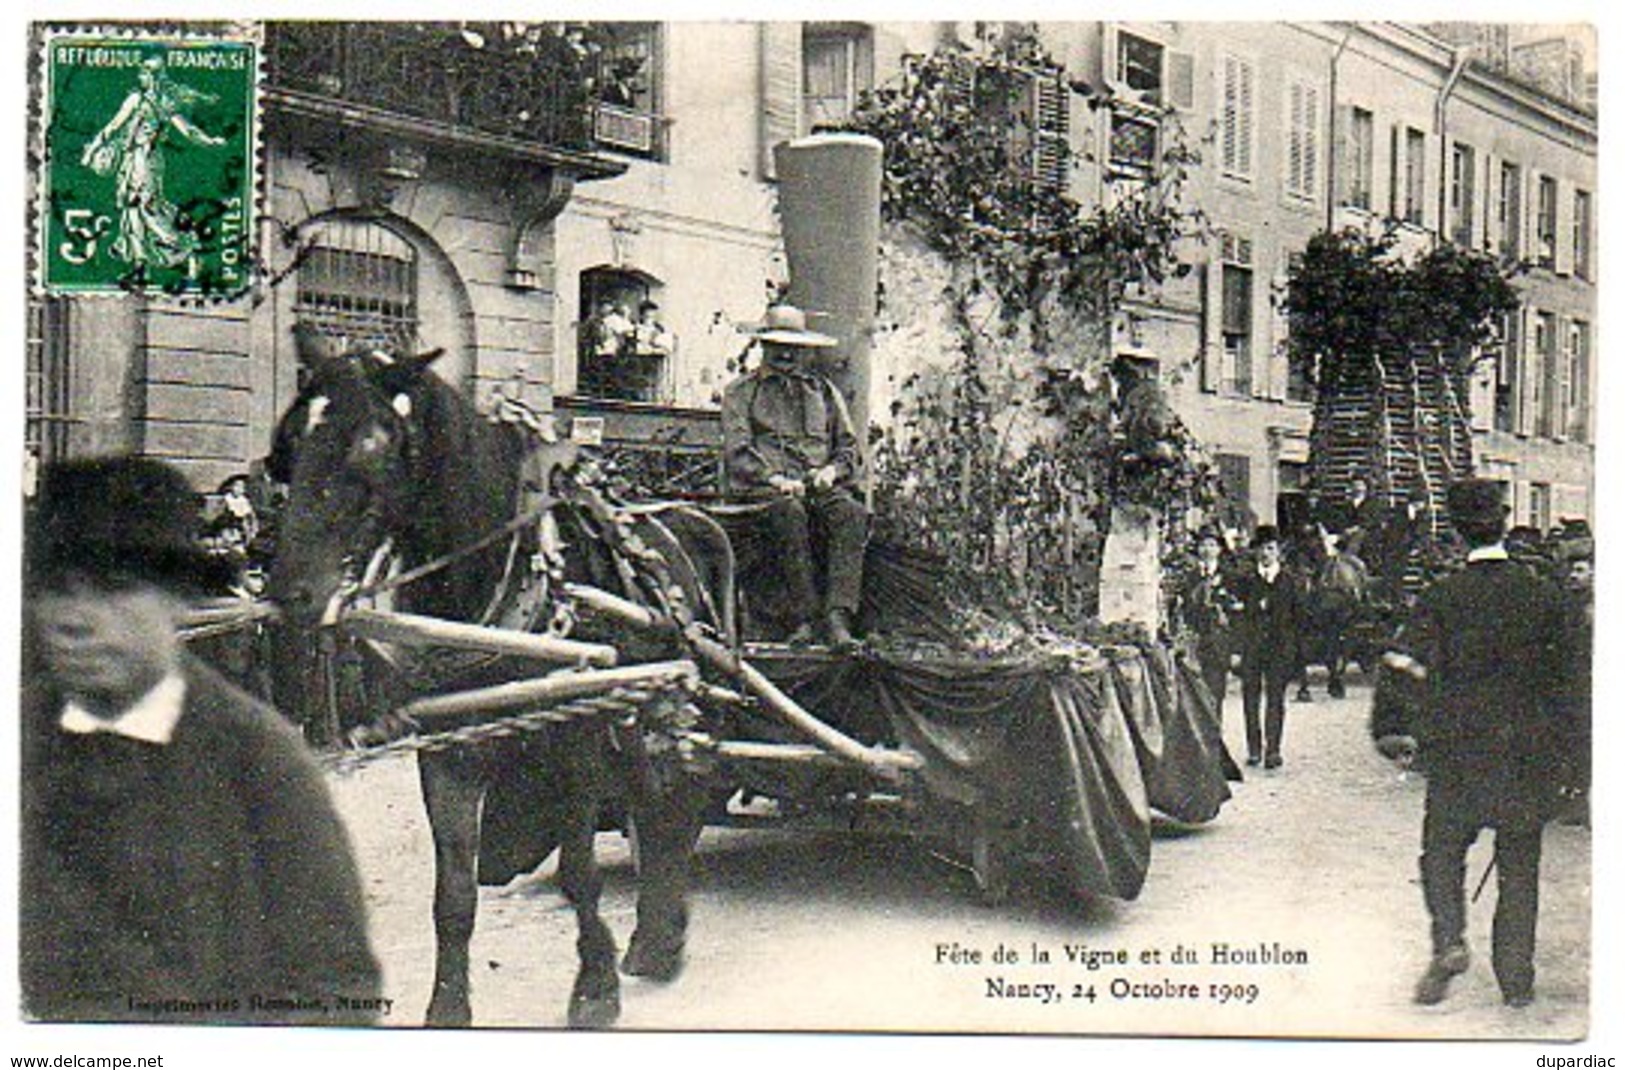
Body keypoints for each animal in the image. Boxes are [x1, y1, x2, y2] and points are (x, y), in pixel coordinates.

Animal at [264, 334, 724, 1027]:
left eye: (372, 444)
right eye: (290, 445)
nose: (291, 592)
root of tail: (684, 524)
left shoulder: (575, 740)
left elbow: (579, 873)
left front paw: (594, 987)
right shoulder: (446, 751)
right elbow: (454, 893)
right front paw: (448, 1005)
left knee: (671, 802)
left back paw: (658, 937)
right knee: (657, 805)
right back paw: (656, 937)